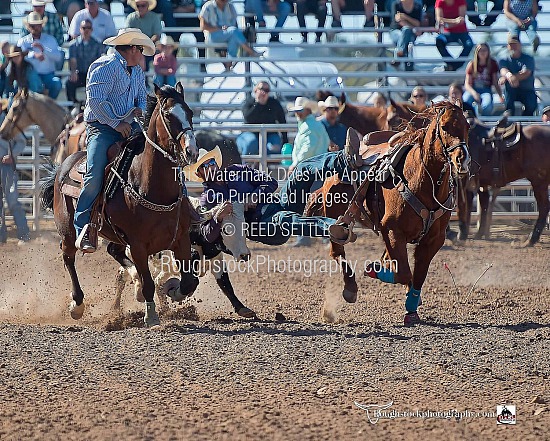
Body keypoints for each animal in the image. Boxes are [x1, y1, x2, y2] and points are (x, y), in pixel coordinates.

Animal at [40, 83, 201, 326]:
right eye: (167, 115)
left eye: (190, 112)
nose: (191, 151)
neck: (151, 187)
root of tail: (62, 167)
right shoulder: (138, 244)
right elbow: (149, 283)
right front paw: (151, 317)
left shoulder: (180, 238)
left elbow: (189, 282)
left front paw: (173, 291)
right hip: (68, 230)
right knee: (68, 257)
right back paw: (77, 305)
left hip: (114, 234)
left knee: (113, 251)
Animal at [308, 102, 472, 324]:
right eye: (445, 127)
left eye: (467, 126)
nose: (462, 160)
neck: (421, 180)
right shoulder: (393, 230)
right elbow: (404, 273)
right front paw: (374, 271)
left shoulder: (434, 238)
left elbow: (418, 275)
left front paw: (412, 307)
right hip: (335, 217)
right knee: (337, 251)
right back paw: (350, 288)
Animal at [458, 117, 550, 246]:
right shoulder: (482, 184)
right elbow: (484, 206)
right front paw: (479, 234)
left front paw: (461, 235)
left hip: (539, 182)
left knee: (544, 207)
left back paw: (530, 240)